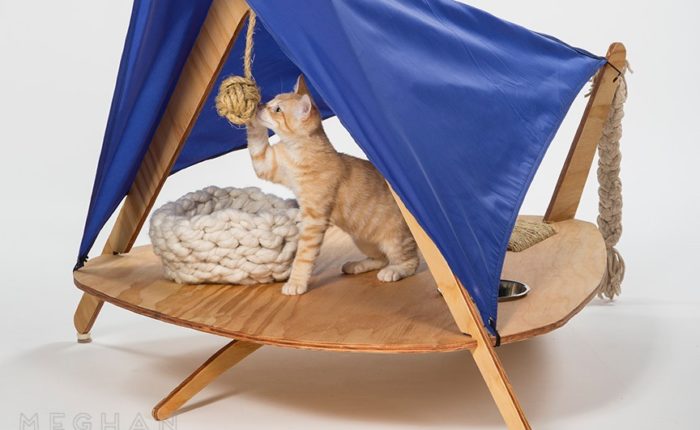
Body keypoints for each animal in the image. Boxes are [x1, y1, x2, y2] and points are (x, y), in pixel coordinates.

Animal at [246, 75, 418, 294]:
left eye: (277, 109)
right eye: (271, 101)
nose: (261, 105)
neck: (296, 153)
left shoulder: (315, 220)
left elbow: (303, 257)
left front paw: (296, 283)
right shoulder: (265, 163)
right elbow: (257, 142)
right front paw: (248, 110)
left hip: (394, 241)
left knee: (409, 260)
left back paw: (394, 271)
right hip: (362, 239)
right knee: (380, 258)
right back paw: (356, 265)